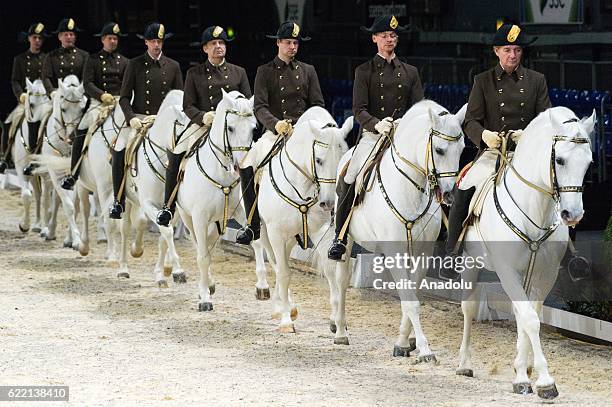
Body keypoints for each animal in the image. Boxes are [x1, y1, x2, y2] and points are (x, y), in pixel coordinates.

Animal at [8, 78, 50, 234]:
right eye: (31, 104)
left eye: (47, 101)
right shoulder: (21, 168)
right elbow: (27, 195)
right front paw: (24, 225)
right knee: (36, 194)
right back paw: (37, 224)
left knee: (41, 194)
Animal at [169, 90, 262, 310]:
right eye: (230, 127)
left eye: (254, 128)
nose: (240, 166)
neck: (221, 171)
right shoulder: (199, 217)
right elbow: (203, 257)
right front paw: (204, 299)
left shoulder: (243, 213)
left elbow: (257, 243)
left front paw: (262, 287)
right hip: (187, 217)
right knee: (199, 247)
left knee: (209, 243)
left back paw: (209, 283)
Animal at [256, 107, 354, 334]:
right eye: (318, 160)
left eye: (342, 157)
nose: (329, 203)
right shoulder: (276, 233)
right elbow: (284, 273)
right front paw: (285, 321)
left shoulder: (322, 231)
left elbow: (330, 270)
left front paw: (335, 321)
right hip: (265, 233)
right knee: (275, 262)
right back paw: (282, 307)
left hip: (292, 237)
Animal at [322, 100, 466, 362]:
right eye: (439, 150)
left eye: (461, 150)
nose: (450, 194)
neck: (410, 189)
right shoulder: (395, 252)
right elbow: (411, 302)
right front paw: (425, 350)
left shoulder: (421, 253)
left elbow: (411, 296)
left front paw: (404, 342)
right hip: (347, 241)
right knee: (341, 281)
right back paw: (340, 331)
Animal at [460, 107, 592, 400]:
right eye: (560, 160)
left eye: (588, 163)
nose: (572, 215)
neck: (534, 210)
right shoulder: (507, 271)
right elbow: (530, 319)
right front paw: (545, 382)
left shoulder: (544, 274)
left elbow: (530, 315)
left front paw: (523, 374)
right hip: (470, 262)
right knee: (468, 308)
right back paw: (462, 364)